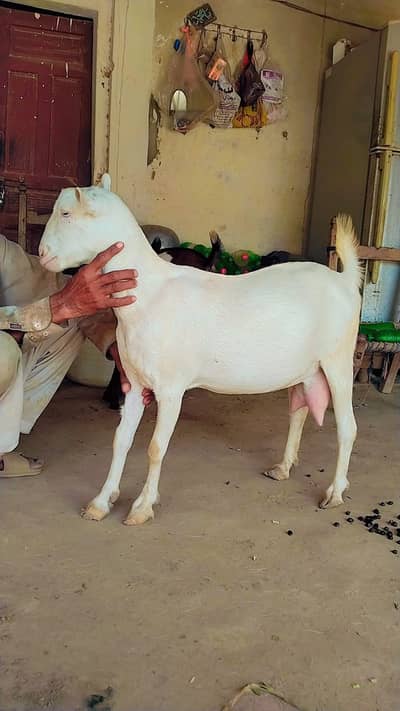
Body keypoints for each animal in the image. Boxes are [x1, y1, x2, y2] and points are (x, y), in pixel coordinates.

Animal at [39, 174, 361, 525]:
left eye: (66, 214)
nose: (41, 253)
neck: (149, 294)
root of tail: (345, 281)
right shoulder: (135, 384)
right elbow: (120, 439)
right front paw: (100, 501)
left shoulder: (170, 389)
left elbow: (155, 447)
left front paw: (142, 507)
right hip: (306, 369)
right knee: (299, 412)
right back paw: (283, 467)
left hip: (338, 362)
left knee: (347, 428)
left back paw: (335, 492)